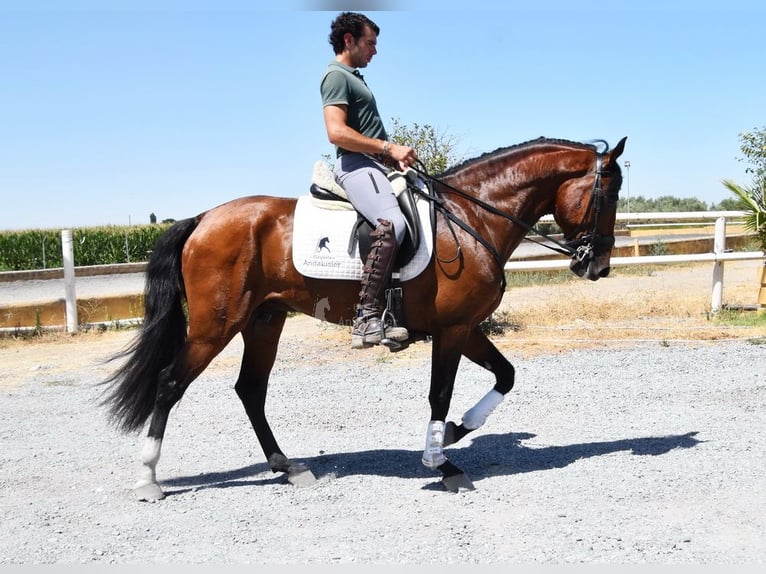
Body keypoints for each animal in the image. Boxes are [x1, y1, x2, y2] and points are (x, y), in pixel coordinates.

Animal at [102, 135, 632, 500]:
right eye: (608, 196)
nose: (598, 267)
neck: (471, 217)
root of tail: (203, 218)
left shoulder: (467, 328)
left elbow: (506, 375)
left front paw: (455, 432)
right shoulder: (452, 330)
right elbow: (440, 393)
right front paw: (441, 461)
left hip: (264, 320)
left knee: (250, 389)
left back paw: (288, 467)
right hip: (217, 325)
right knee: (170, 384)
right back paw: (148, 480)